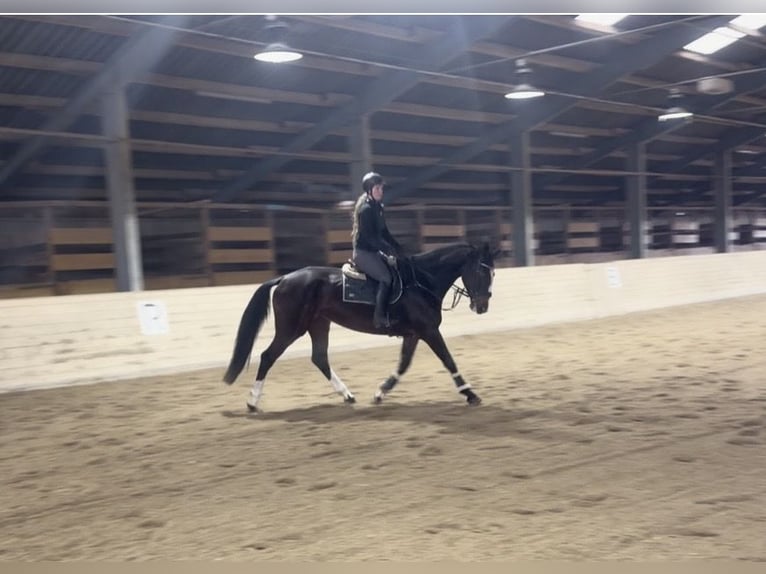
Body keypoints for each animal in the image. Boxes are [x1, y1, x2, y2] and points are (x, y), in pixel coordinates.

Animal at [222, 241, 496, 412]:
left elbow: (403, 365)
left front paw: (380, 392)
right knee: (268, 356)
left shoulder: (413, 334)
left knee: (319, 358)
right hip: (291, 328)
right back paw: (252, 402)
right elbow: (449, 361)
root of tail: (285, 278)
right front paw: (470, 394)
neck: (420, 282)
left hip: (318, 324)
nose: (482, 307)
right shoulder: (428, 331)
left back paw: (348, 395)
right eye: (481, 272)